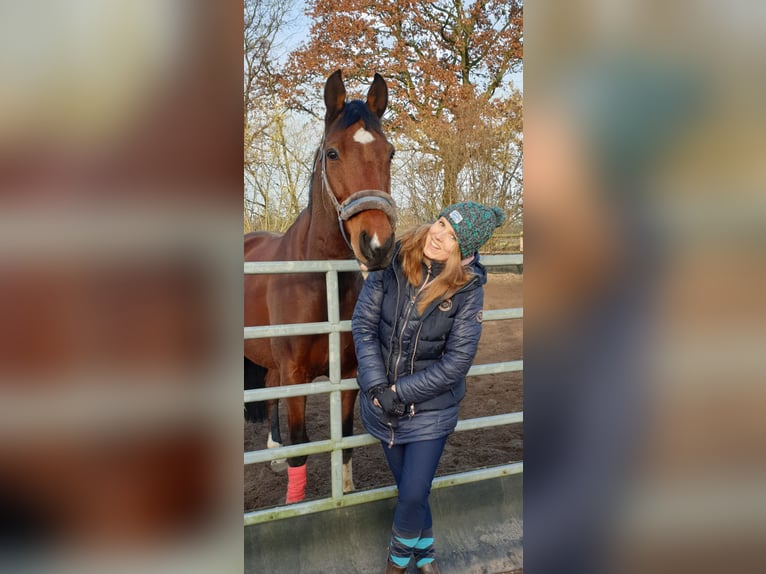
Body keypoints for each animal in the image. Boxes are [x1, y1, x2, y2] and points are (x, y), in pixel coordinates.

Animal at [246, 71, 400, 504]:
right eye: (332, 153)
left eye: (390, 153)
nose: (377, 245)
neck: (321, 280)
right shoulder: (296, 374)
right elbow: (302, 445)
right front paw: (294, 505)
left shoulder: (347, 373)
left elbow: (344, 438)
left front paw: (345, 490)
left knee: (268, 388)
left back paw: (273, 453)